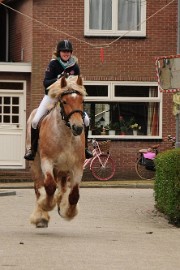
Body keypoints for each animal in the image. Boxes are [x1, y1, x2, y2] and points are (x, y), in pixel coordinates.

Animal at [26, 75, 86, 228]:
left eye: (82, 101)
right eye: (64, 101)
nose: (78, 127)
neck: (65, 135)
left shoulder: (77, 166)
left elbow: (74, 194)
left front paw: (69, 212)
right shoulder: (47, 161)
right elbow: (49, 186)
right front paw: (47, 204)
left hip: (63, 169)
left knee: (63, 187)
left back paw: (60, 203)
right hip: (36, 164)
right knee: (38, 186)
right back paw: (40, 216)